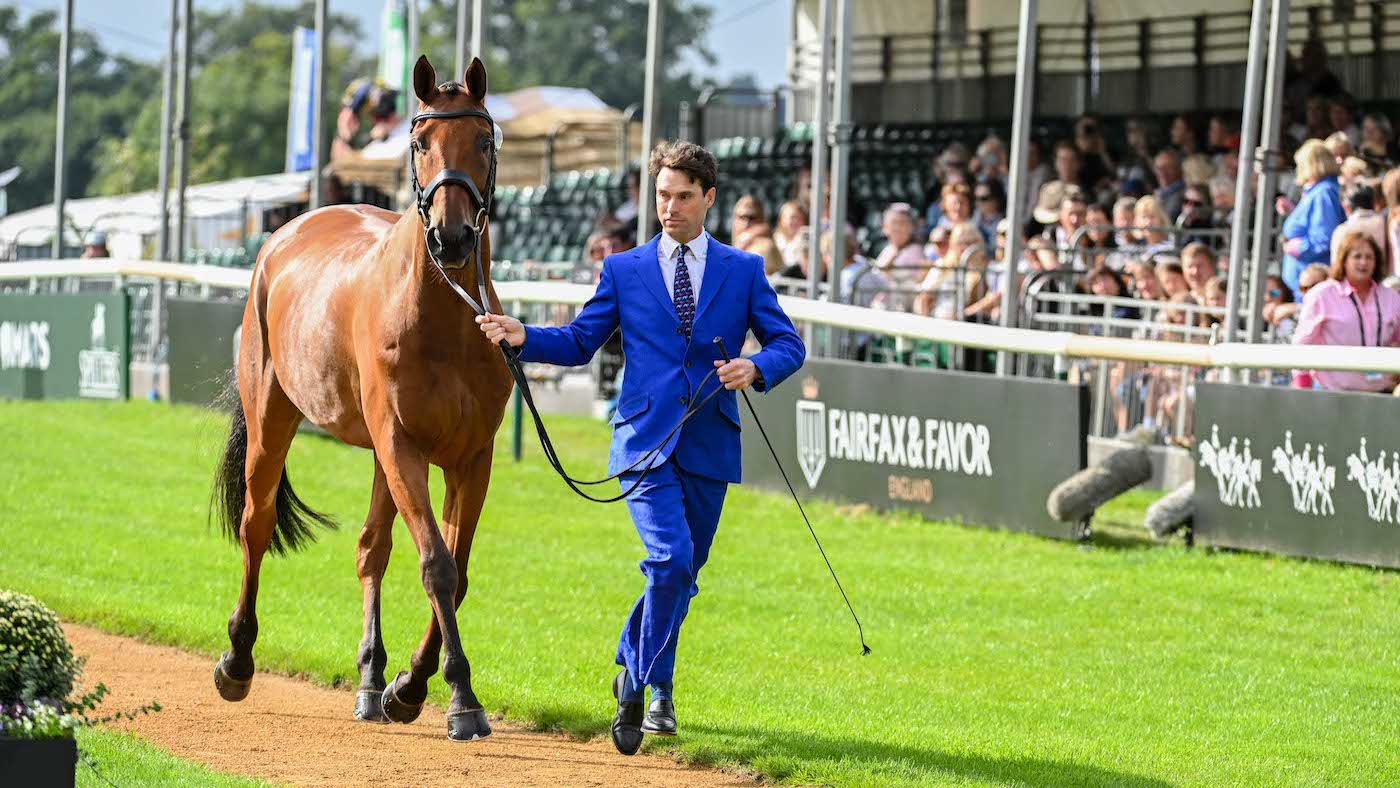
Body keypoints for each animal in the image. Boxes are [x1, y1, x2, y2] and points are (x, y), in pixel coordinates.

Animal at [209, 55, 512, 742]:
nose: (452, 237)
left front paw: (410, 685)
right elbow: (436, 565)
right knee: (256, 524)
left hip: (378, 452)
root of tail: (288, 229)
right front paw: (460, 695)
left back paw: (373, 680)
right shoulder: (403, 445)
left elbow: (454, 572)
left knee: (372, 549)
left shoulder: (469, 456)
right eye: (420, 143)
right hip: (273, 419)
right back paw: (238, 660)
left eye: (484, 140)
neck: (448, 319)